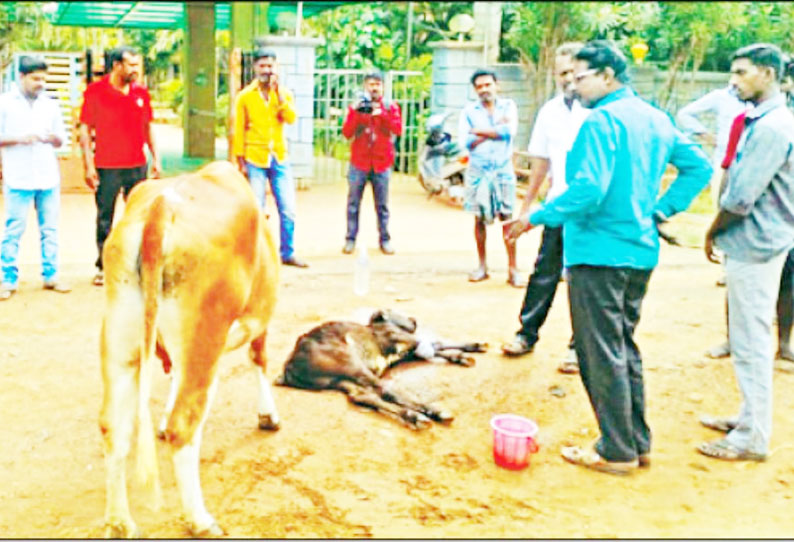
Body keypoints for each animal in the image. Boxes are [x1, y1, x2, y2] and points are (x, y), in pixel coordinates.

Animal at [99, 162, 280, 540]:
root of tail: (160, 206)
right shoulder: (258, 320)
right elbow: (259, 359)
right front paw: (268, 415)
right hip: (204, 338)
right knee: (185, 423)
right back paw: (199, 518)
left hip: (120, 337)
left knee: (113, 424)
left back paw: (119, 520)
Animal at [276, 312, 486, 432]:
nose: (413, 320)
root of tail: (288, 366)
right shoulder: (404, 340)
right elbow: (435, 343)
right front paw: (473, 347)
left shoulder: (406, 350)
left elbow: (434, 347)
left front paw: (464, 354)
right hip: (352, 365)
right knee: (385, 389)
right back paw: (434, 412)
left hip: (341, 380)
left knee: (362, 396)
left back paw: (413, 416)